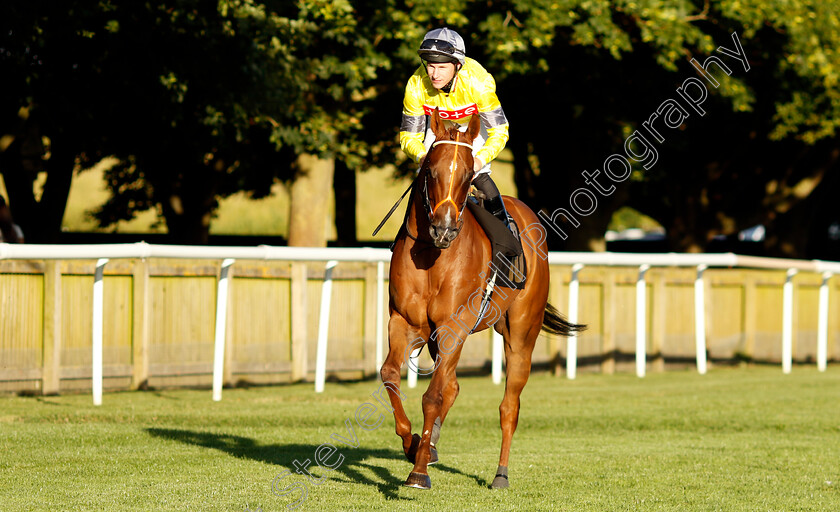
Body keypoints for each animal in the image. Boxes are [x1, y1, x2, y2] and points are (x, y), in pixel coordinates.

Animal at [380, 107, 584, 488]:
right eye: (431, 171)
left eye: (467, 175)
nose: (443, 228)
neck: (433, 255)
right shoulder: (404, 321)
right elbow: (390, 375)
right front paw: (414, 445)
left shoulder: (454, 325)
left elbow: (433, 395)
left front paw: (418, 472)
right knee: (453, 386)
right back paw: (429, 447)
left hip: (521, 333)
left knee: (509, 406)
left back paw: (500, 474)